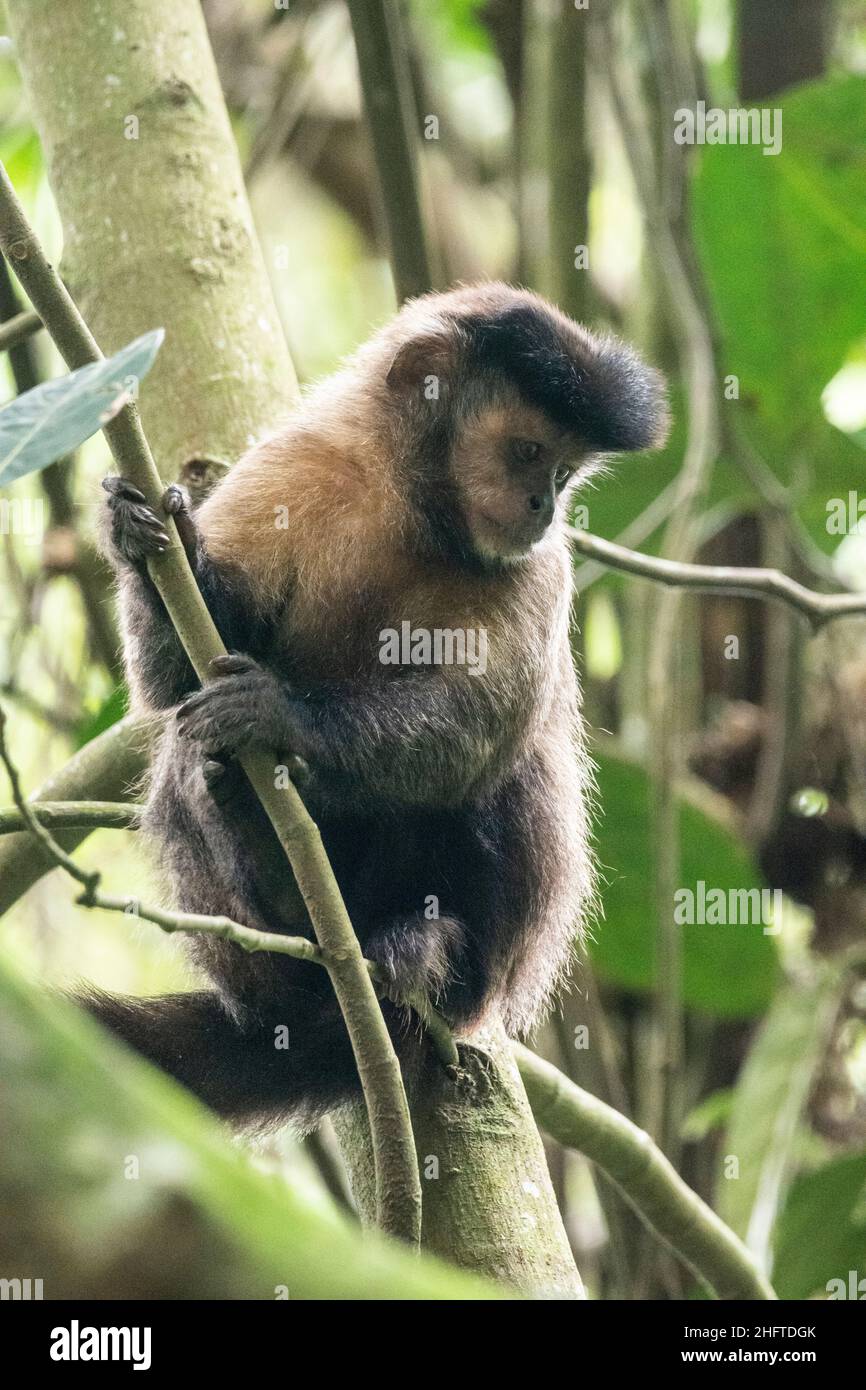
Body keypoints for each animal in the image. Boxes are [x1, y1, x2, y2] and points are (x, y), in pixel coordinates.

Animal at [86, 282, 670, 1128]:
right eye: (530, 453)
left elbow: (476, 729)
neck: (412, 509)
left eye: (564, 472)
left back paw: (425, 951)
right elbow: (172, 683)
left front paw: (280, 717)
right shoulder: (291, 463)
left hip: (495, 965)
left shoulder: (539, 567)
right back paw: (269, 875)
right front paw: (145, 541)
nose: (542, 505)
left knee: (500, 778)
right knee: (184, 762)